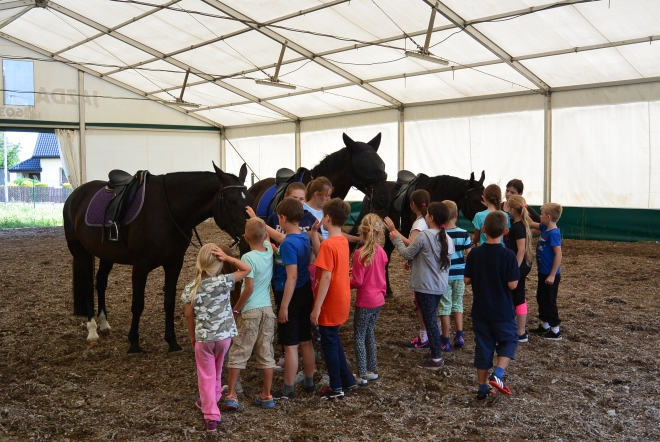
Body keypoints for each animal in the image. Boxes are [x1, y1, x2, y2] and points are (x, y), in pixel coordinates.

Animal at [63, 164, 253, 354]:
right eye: (231, 200)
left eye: (250, 199)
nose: (247, 238)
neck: (166, 212)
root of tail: (76, 195)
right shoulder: (140, 266)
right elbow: (137, 304)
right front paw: (134, 343)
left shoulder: (174, 263)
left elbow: (169, 301)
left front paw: (172, 341)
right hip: (80, 253)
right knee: (88, 287)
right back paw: (92, 330)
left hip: (107, 255)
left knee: (101, 282)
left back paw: (103, 324)